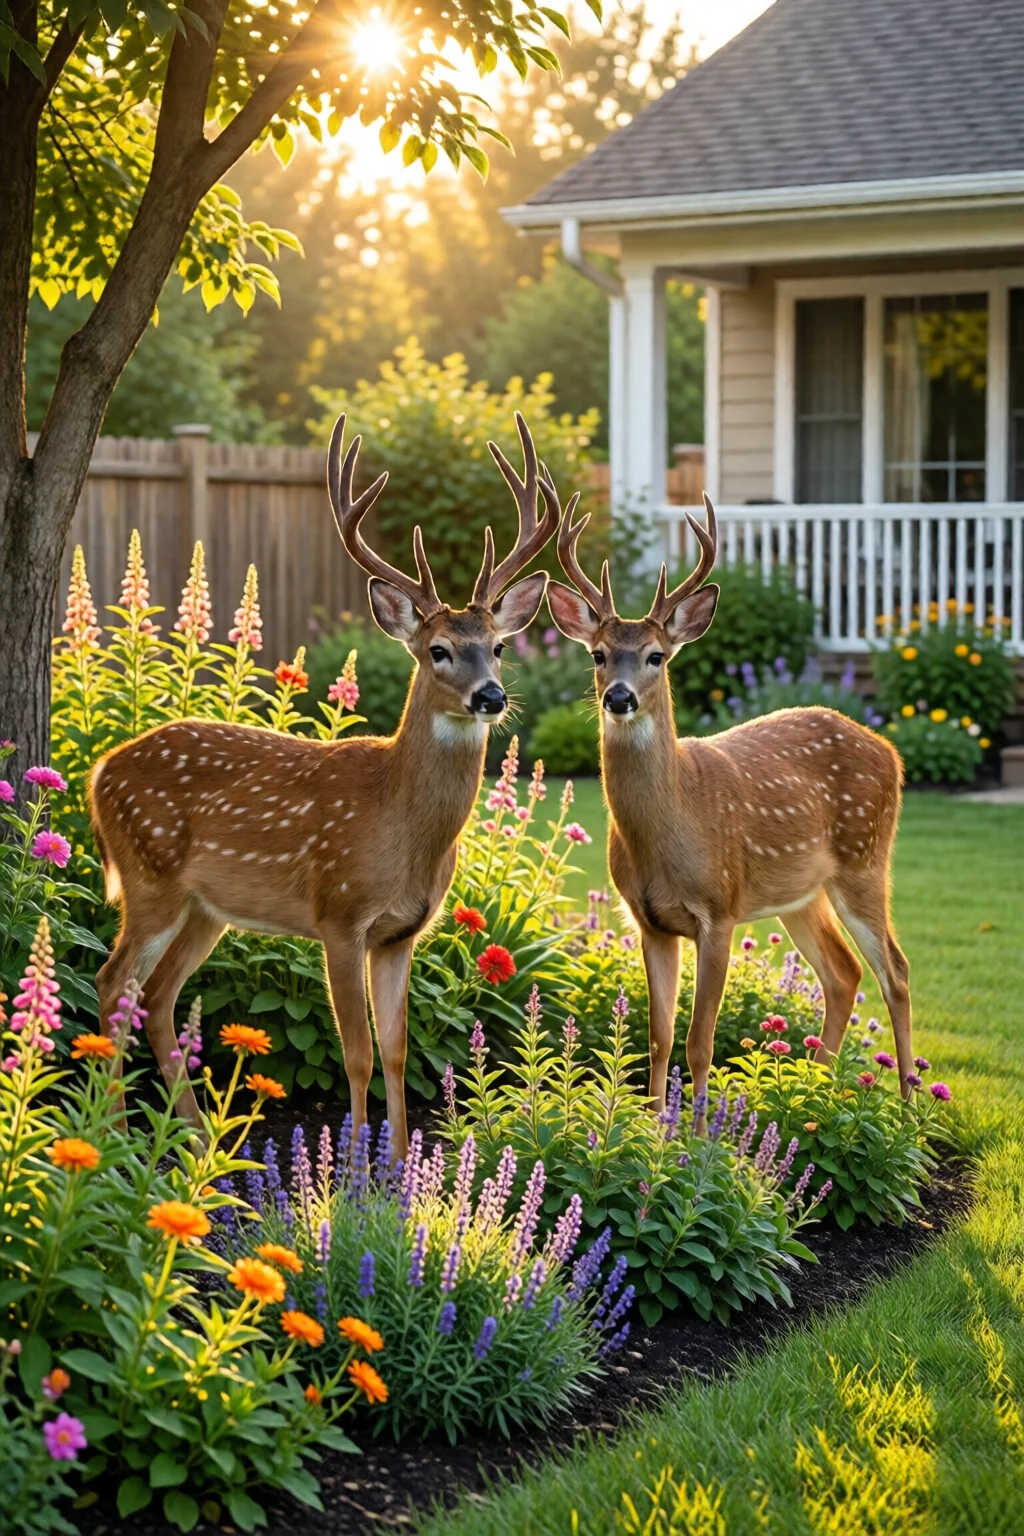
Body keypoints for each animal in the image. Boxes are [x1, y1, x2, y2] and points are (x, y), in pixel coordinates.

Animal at [90, 412, 565, 1157]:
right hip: (149, 874)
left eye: (498, 647)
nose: (491, 696)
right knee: (115, 984)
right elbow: (357, 1052)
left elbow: (397, 1049)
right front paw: (357, 1170)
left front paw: (401, 1165)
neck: (402, 827)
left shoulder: (400, 933)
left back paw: (194, 1141)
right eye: (437, 650)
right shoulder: (339, 914)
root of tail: (101, 769)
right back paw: (113, 1139)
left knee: (158, 998)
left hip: (205, 908)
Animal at [545, 496, 913, 1131]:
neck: (669, 832)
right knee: (843, 974)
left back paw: (911, 1113)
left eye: (656, 656)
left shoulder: (719, 910)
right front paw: (652, 1130)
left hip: (865, 860)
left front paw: (698, 1138)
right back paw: (813, 1101)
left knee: (895, 971)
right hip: (801, 892)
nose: (619, 696)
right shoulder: (647, 920)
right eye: (597, 654)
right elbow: (659, 1037)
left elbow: (701, 1041)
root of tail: (891, 752)